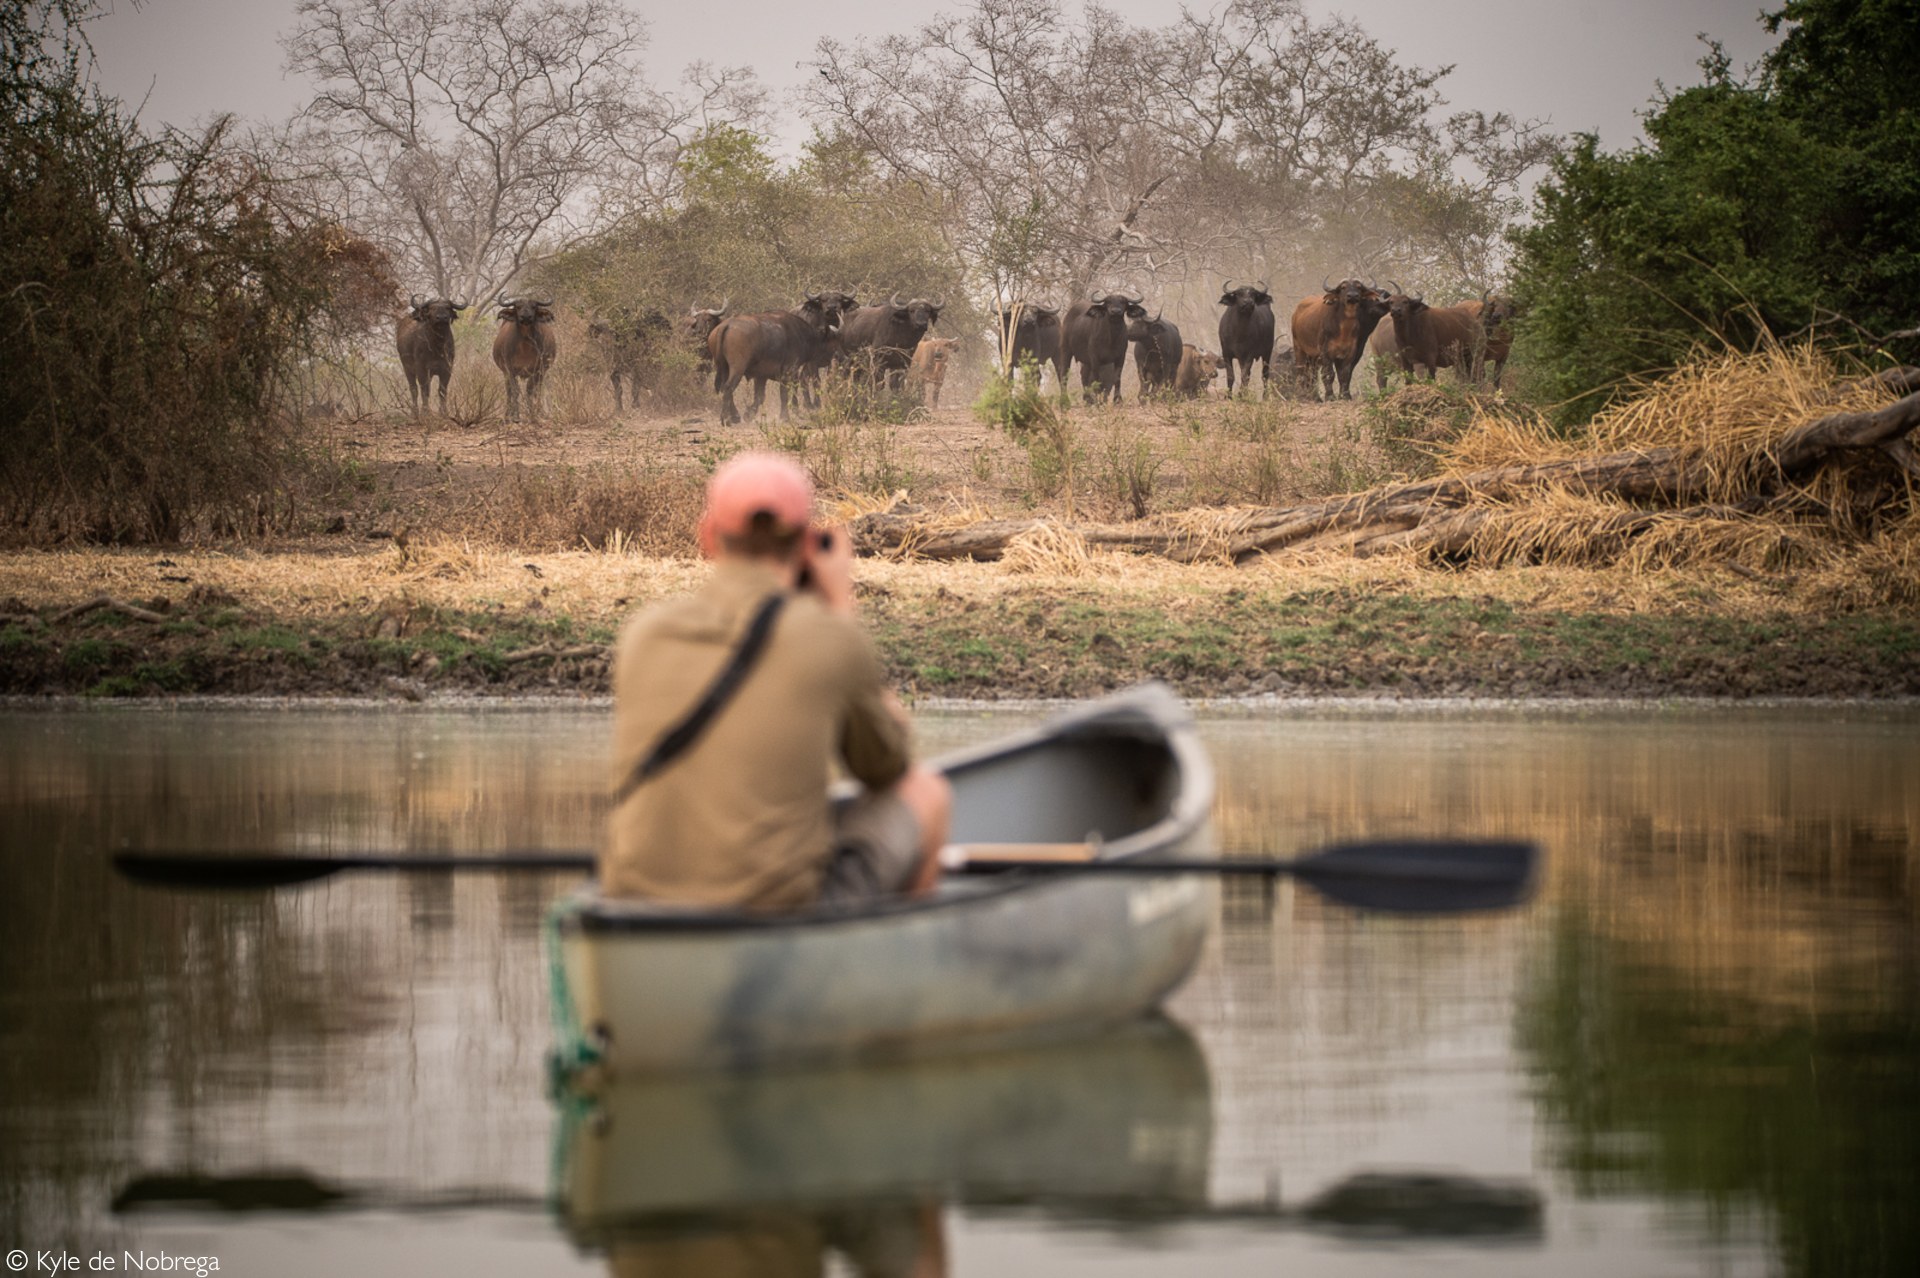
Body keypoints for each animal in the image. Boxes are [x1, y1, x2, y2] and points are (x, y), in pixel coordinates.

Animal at [710, 291, 852, 426]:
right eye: (834, 340)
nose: (844, 357)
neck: (803, 335)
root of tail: (726, 325)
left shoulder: (761, 376)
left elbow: (760, 397)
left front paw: (748, 414)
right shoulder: (788, 372)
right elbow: (784, 394)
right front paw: (785, 417)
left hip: (723, 367)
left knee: (723, 388)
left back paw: (734, 416)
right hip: (737, 369)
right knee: (728, 388)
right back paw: (726, 419)